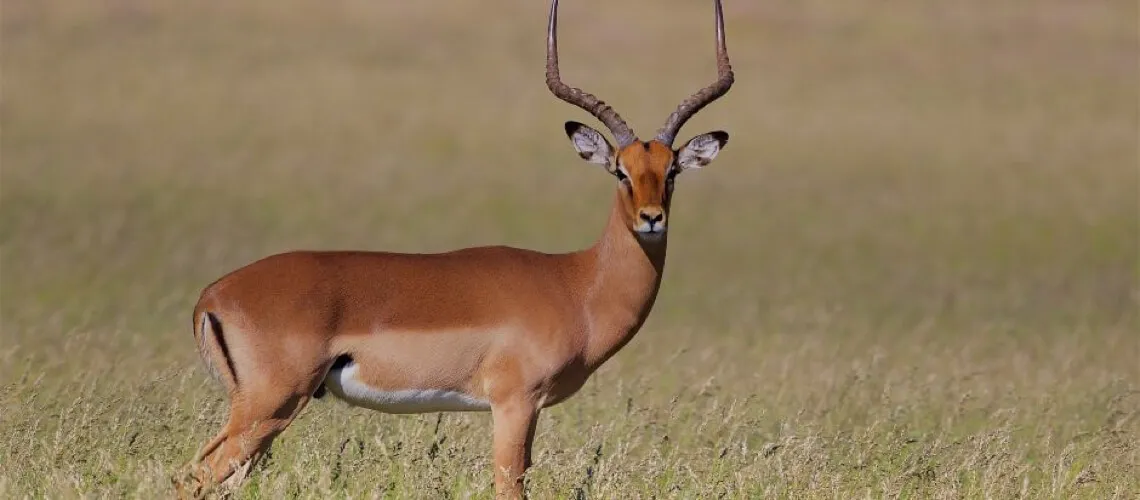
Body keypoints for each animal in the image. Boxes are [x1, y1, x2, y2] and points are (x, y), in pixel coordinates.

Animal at [177, 0, 734, 497]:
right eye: (620, 171)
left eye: (671, 171)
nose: (651, 219)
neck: (577, 285)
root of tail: (212, 296)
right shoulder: (515, 405)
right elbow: (510, 487)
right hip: (269, 406)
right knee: (193, 477)